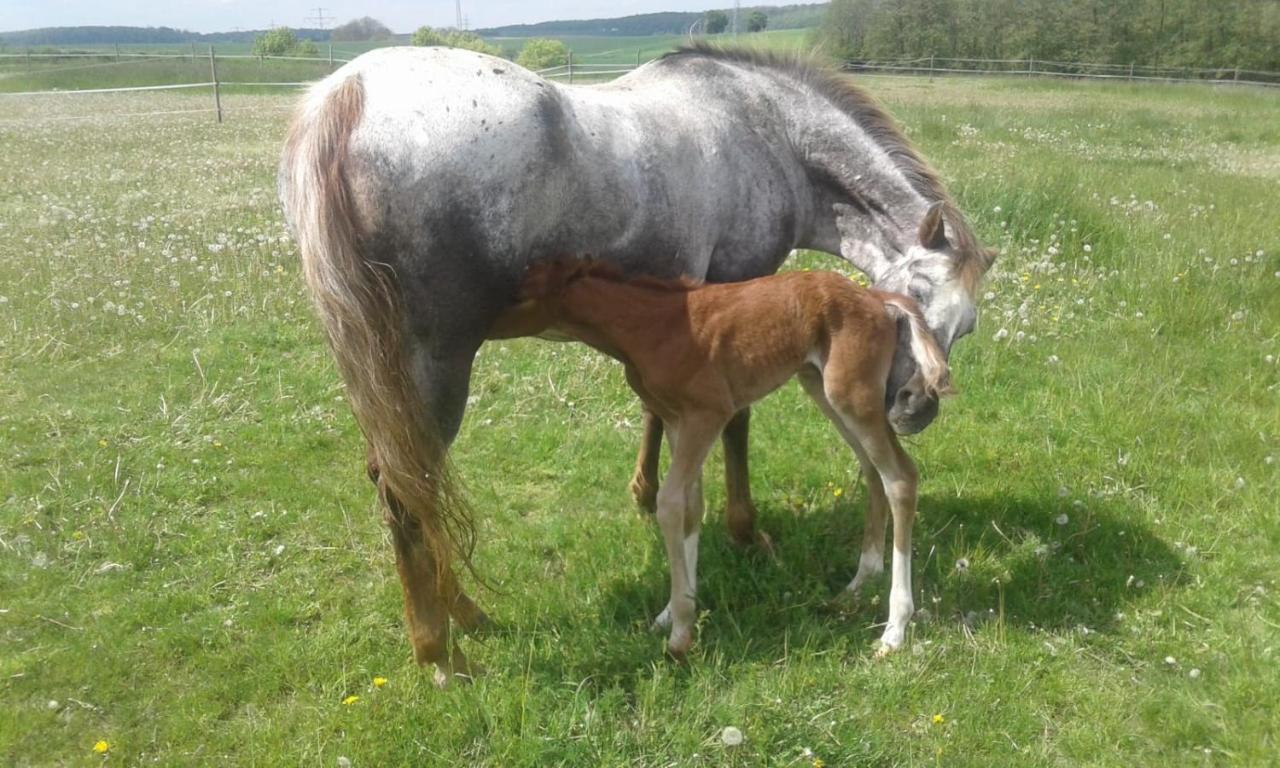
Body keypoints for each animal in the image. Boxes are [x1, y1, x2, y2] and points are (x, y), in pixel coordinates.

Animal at [494, 259, 957, 652]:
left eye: (522, 293)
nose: (484, 323)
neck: (651, 327)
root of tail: (878, 298)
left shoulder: (708, 413)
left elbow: (669, 503)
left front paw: (681, 632)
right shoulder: (677, 421)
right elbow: (691, 507)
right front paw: (671, 611)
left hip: (851, 393)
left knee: (900, 477)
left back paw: (894, 629)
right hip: (823, 387)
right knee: (872, 469)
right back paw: (860, 580)